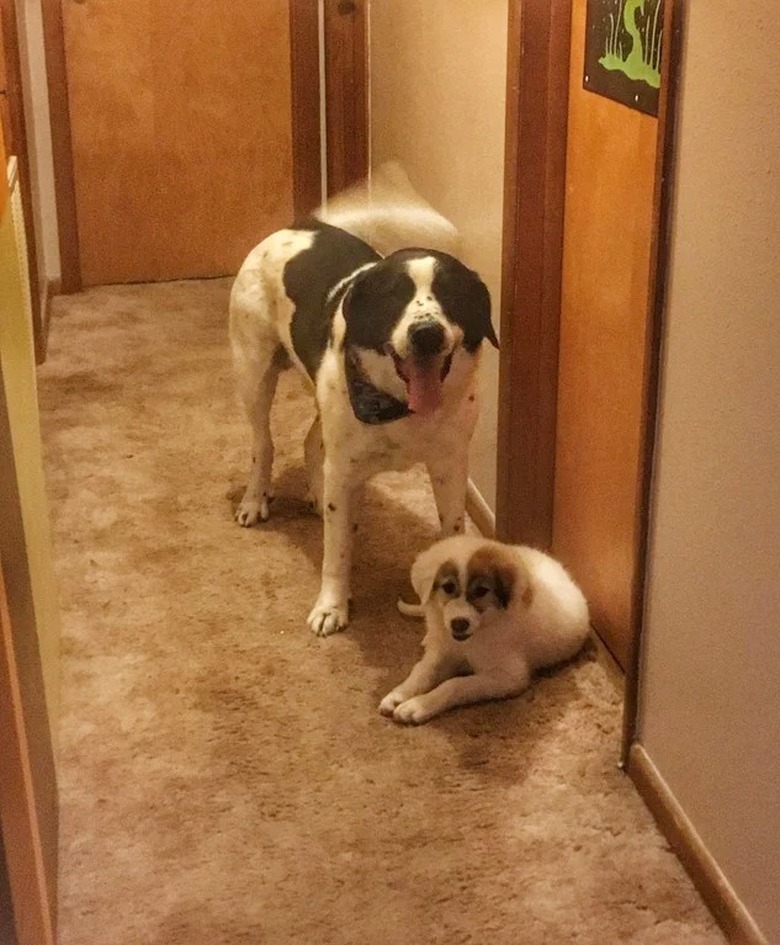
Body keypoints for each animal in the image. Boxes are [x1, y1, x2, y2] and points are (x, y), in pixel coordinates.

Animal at [229, 208, 496, 636]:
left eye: (451, 294)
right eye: (393, 295)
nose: (426, 333)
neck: (400, 406)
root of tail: (300, 226)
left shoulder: (449, 468)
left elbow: (452, 529)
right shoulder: (345, 466)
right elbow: (336, 552)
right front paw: (331, 606)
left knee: (312, 442)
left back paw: (318, 496)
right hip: (254, 372)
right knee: (262, 444)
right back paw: (255, 501)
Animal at [380, 540, 592, 724]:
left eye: (481, 591)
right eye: (448, 587)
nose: (459, 624)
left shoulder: (509, 676)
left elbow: (455, 684)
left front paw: (417, 705)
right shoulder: (444, 652)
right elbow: (422, 671)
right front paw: (399, 694)